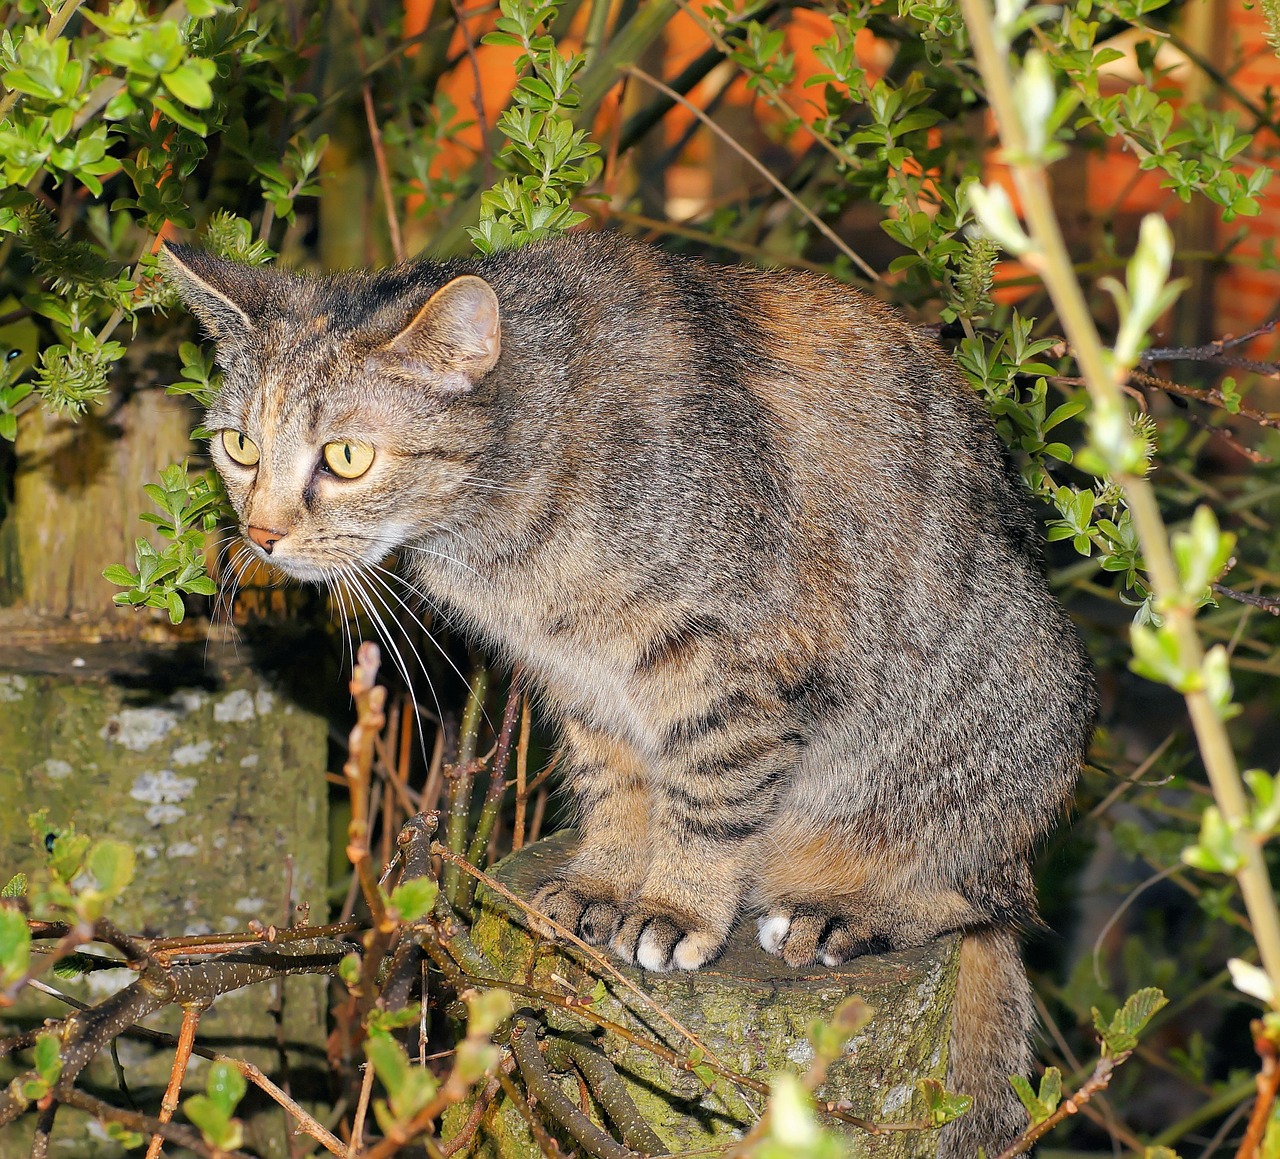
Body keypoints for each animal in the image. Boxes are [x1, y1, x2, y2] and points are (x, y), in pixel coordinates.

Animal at [165, 230, 1095, 1152]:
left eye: (346, 457)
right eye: (239, 446)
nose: (261, 533)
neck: (507, 522)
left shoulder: (725, 668)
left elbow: (709, 798)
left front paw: (678, 905)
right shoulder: (585, 680)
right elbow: (619, 789)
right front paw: (605, 882)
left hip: (1001, 720)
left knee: (981, 900)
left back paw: (853, 909)